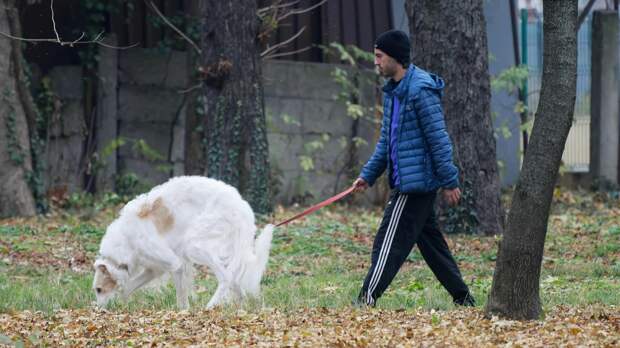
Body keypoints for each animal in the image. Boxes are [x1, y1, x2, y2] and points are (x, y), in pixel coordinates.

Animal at [92, 175, 274, 308]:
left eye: (99, 290)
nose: (99, 311)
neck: (126, 240)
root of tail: (243, 207)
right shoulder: (154, 268)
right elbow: (128, 288)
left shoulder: (174, 263)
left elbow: (181, 296)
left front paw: (183, 312)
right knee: (234, 280)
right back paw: (242, 305)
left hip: (194, 245)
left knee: (226, 278)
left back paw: (210, 307)